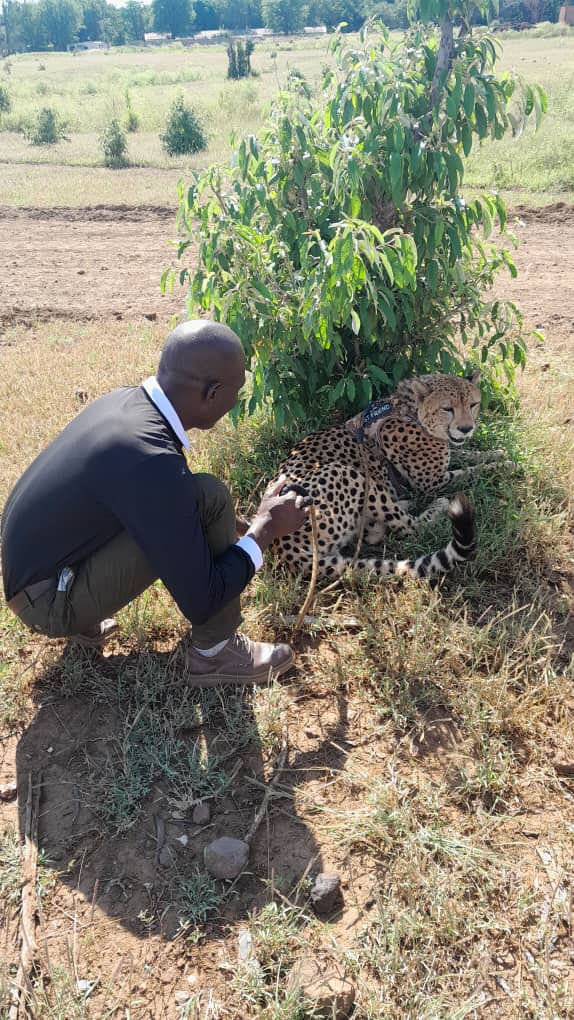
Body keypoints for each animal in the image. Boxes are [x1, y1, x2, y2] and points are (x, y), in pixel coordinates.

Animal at [271, 370, 506, 583]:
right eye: (447, 408)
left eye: (473, 404)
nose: (467, 429)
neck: (411, 409)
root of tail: (283, 549)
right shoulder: (433, 483)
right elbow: (469, 472)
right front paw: (504, 464)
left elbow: (467, 455)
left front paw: (498, 453)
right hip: (347, 473)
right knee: (410, 527)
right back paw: (435, 505)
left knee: (373, 531)